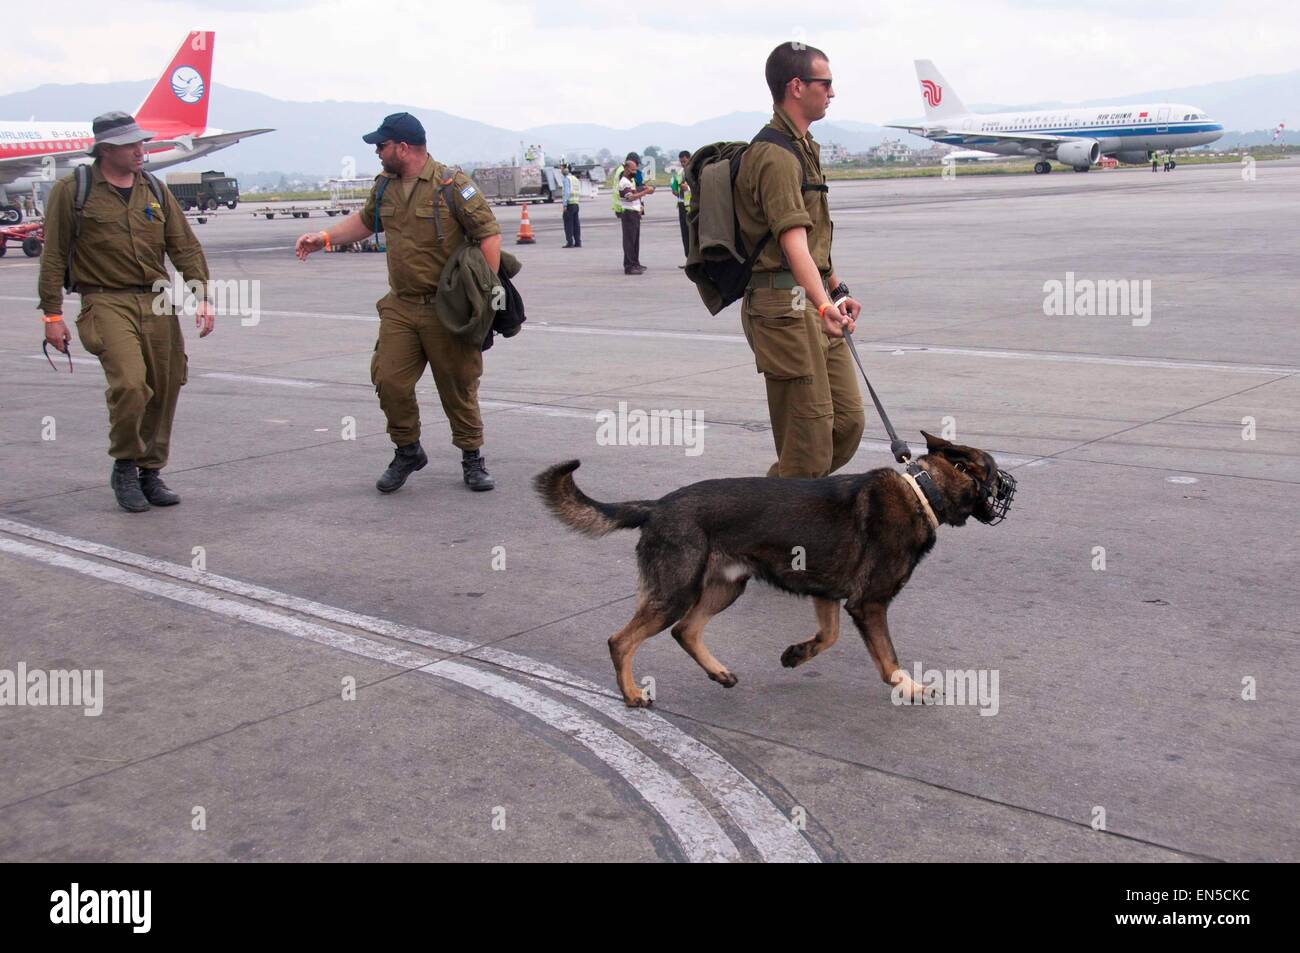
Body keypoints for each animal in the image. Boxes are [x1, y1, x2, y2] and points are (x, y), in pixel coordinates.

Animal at [535, 431, 1013, 707]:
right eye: (994, 474)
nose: (1010, 491)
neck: (923, 490)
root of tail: (658, 506)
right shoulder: (869, 604)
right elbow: (887, 657)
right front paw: (908, 687)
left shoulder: (828, 595)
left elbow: (829, 636)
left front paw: (797, 654)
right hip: (676, 592)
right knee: (622, 640)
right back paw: (632, 693)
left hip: (726, 588)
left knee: (685, 631)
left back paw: (718, 672)